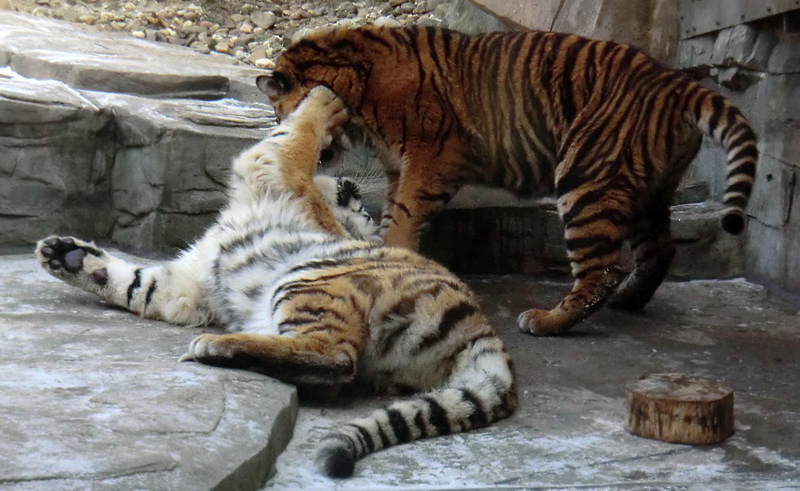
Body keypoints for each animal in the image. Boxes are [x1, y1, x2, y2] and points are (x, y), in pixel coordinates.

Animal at [36, 86, 520, 478]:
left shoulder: (276, 169)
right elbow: (136, 284)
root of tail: (484, 329)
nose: (353, 186)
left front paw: (326, 97)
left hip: (311, 278)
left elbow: (295, 134)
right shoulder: (187, 284)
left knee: (335, 359)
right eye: (365, 211)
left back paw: (216, 347)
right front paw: (67, 255)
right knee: (333, 370)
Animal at [260, 25, 756, 336]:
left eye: (280, 111)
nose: (286, 133)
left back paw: (547, 321)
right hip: (644, 190)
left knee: (602, 271)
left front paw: (396, 254)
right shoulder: (401, 165)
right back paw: (629, 299)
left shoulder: (430, 157)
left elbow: (402, 216)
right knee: (660, 250)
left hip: (587, 177)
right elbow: (391, 217)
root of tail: (676, 84)